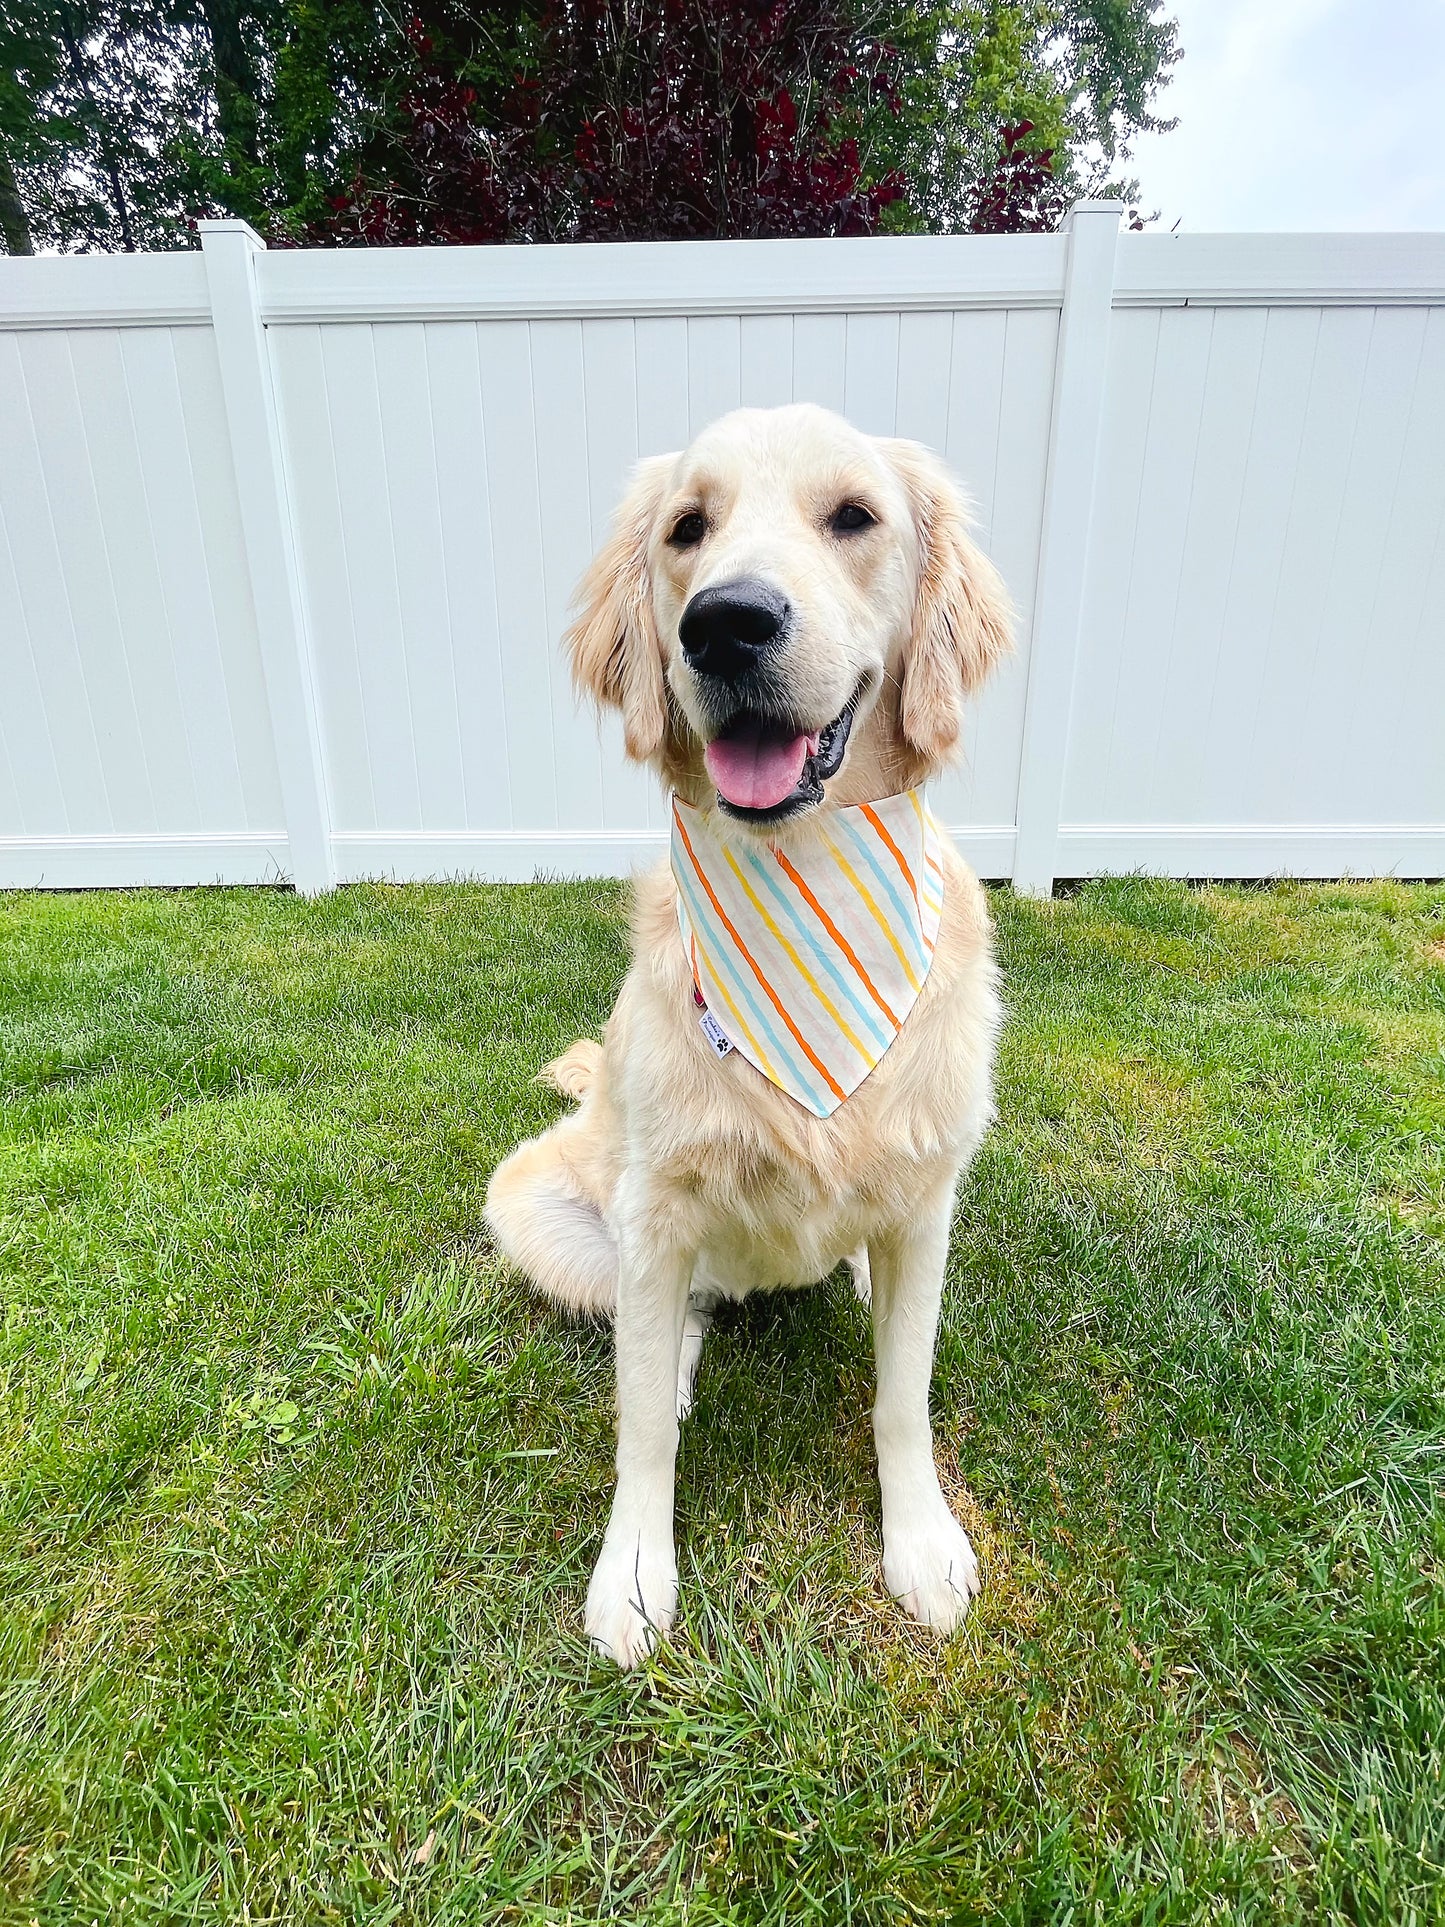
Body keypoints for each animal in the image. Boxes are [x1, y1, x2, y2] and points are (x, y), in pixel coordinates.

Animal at [487, 402, 1009, 1657]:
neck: (801, 870)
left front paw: (919, 1542)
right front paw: (633, 1572)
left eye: (853, 517)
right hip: (540, 1207)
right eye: (687, 529)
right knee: (666, 1332)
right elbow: (638, 1426)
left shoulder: (928, 1202)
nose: (722, 624)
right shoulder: (658, 1208)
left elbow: (900, 1398)